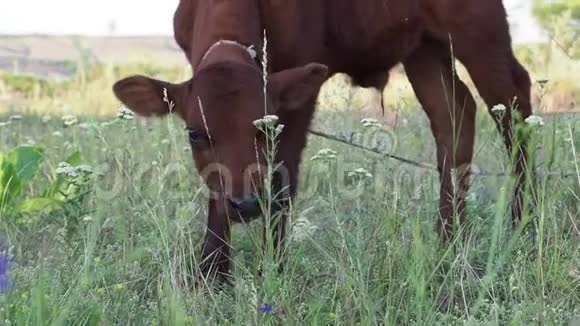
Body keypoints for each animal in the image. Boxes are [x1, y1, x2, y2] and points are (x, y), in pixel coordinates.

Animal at [114, 0, 536, 282]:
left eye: (268, 129)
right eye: (194, 133)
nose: (247, 204)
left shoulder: (298, 93)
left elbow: (283, 182)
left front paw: (273, 266)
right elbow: (216, 187)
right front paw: (212, 274)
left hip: (478, 26)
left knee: (514, 104)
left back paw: (524, 221)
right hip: (423, 46)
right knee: (453, 113)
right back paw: (449, 239)